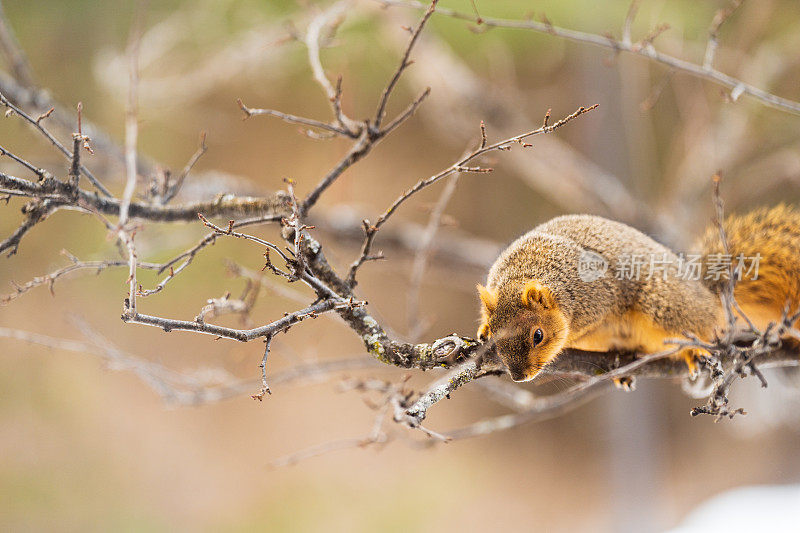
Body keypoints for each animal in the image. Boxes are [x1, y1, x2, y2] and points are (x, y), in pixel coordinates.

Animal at [478, 204, 796, 382]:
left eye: (538, 335)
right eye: (496, 335)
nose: (519, 377)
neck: (523, 274)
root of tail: (708, 296)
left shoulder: (598, 296)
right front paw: (482, 329)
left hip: (664, 305)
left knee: (698, 327)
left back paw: (693, 349)